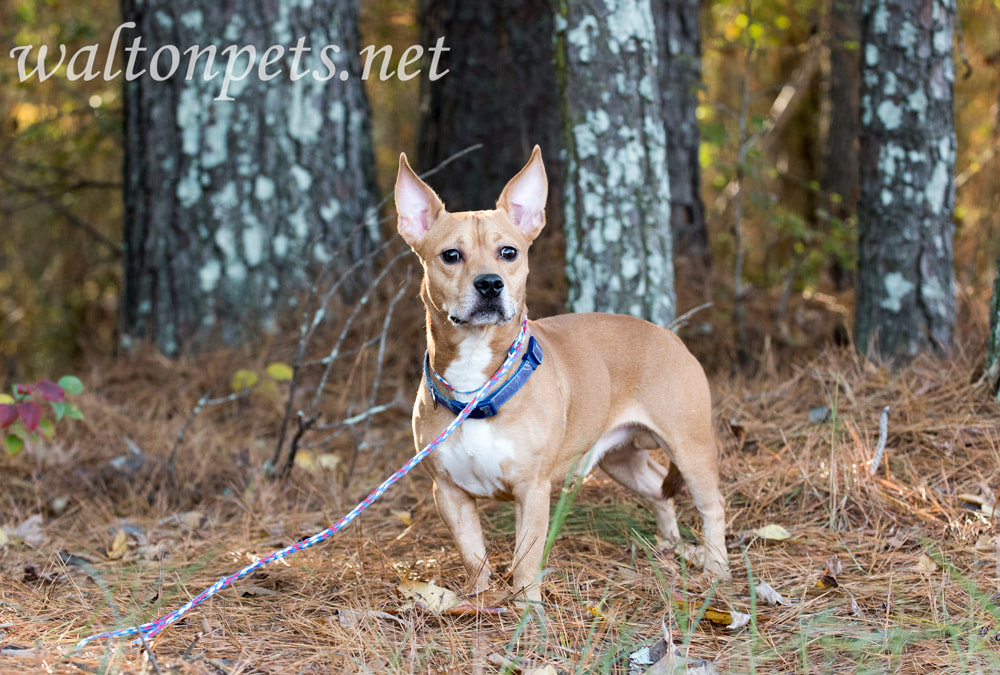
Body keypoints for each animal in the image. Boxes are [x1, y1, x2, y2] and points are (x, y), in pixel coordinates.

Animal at [394, 147, 732, 604]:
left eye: (508, 253)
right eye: (451, 255)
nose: (490, 284)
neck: (477, 387)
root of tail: (667, 333)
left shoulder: (532, 490)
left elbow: (525, 560)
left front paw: (527, 610)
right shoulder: (449, 493)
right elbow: (473, 556)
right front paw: (481, 603)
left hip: (690, 448)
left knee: (713, 505)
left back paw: (716, 569)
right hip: (621, 458)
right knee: (657, 488)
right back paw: (667, 548)